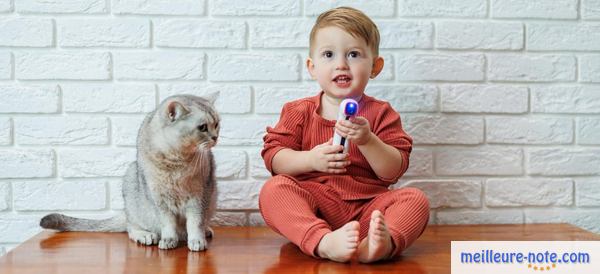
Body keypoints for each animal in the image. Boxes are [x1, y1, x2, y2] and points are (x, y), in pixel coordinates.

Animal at [41, 93, 221, 250]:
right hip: (131, 178)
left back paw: (204, 231)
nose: (215, 137)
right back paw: (145, 235)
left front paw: (197, 240)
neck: (177, 161)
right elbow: (167, 224)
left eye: (217, 124)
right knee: (130, 227)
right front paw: (169, 240)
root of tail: (126, 213)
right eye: (202, 127)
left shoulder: (200, 196)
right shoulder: (158, 199)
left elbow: (195, 222)